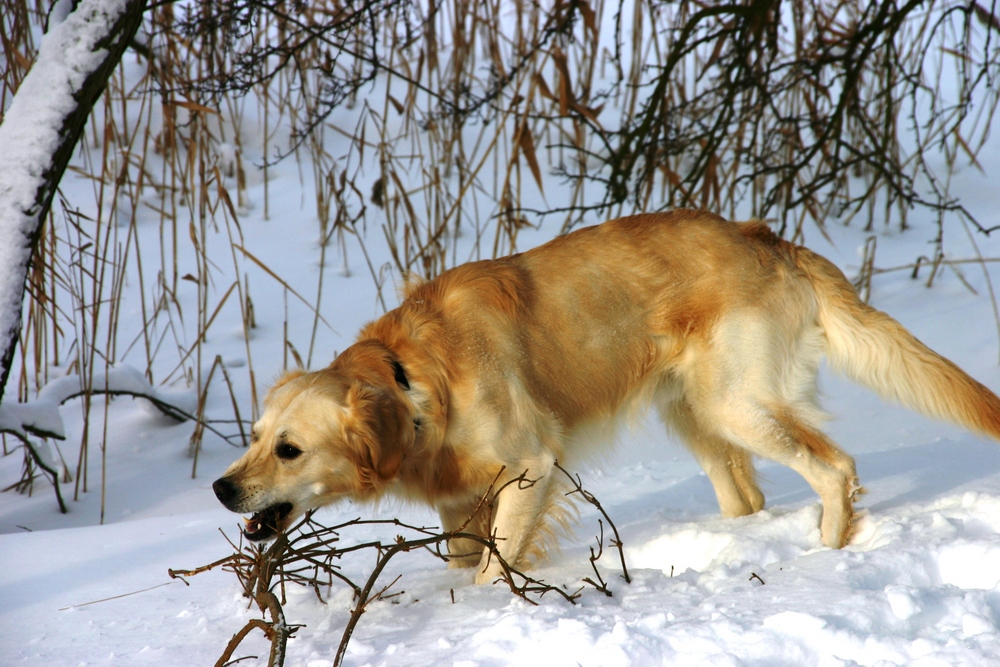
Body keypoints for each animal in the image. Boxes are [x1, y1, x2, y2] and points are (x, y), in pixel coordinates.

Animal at [211, 211, 1000, 580]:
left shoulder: (531, 466)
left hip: (737, 405)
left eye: (289, 449)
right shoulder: (457, 499)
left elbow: (494, 570)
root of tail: (767, 238)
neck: (414, 380)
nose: (221, 488)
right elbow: (465, 560)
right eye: (254, 437)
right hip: (694, 413)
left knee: (835, 467)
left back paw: (827, 557)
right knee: (748, 495)